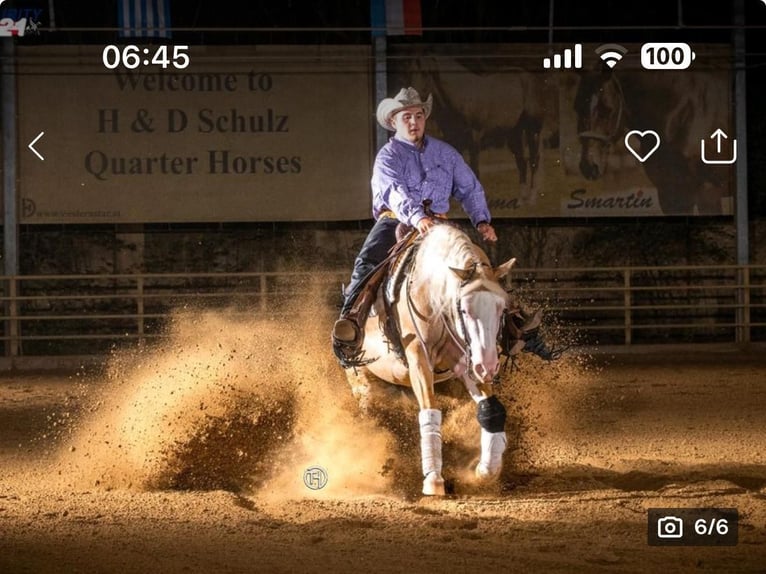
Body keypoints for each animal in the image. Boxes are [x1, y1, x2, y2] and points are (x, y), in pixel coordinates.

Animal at [348, 223, 516, 496]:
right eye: (464, 309)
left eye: (502, 308)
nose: (488, 366)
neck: (431, 293)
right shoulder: (419, 359)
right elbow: (429, 413)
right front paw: (434, 480)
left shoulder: (467, 360)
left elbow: (491, 410)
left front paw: (486, 470)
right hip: (361, 380)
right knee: (369, 414)